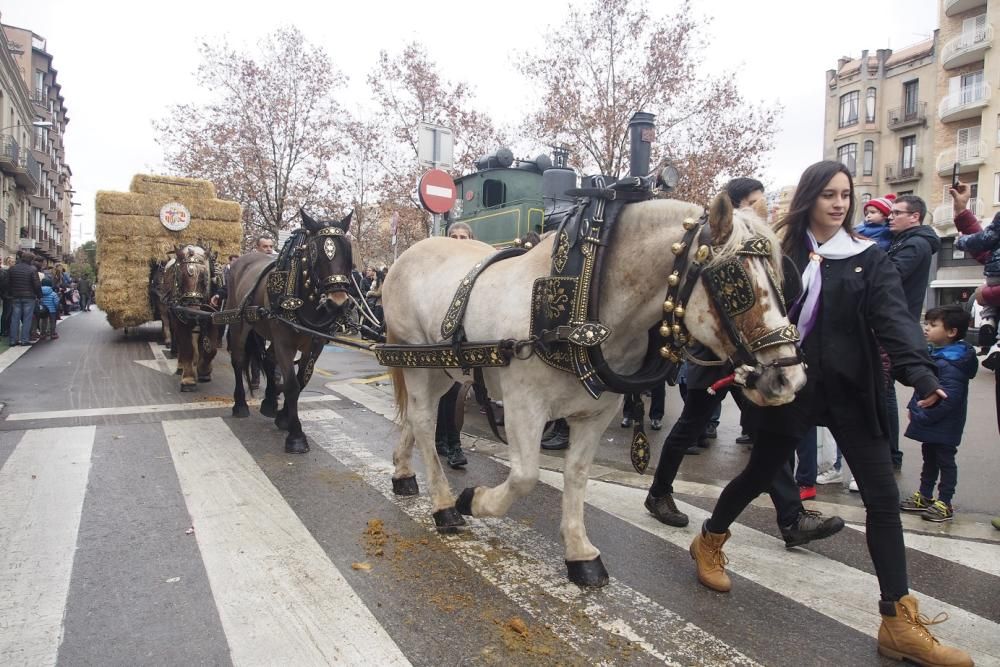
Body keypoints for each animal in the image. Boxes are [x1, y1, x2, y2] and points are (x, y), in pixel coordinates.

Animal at [227, 210, 356, 454]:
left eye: (348, 253)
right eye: (316, 254)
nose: (338, 303)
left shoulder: (314, 345)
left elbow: (301, 380)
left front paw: (283, 416)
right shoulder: (284, 343)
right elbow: (291, 385)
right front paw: (296, 436)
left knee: (267, 360)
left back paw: (269, 402)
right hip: (239, 324)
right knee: (239, 360)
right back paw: (240, 404)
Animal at [378, 192, 808, 584]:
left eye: (782, 280)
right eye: (735, 282)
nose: (789, 379)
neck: (583, 295)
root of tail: (407, 255)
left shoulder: (597, 413)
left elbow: (577, 473)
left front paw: (580, 553)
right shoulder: (523, 405)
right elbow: (525, 476)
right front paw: (475, 499)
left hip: (440, 369)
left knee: (418, 417)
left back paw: (403, 473)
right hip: (416, 360)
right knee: (423, 421)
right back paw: (445, 505)